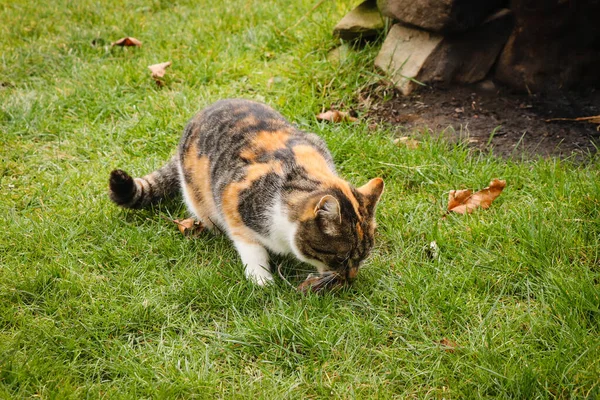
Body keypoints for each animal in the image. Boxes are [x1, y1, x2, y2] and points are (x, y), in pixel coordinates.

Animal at [109, 101, 384, 288]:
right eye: (341, 258)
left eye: (363, 257)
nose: (351, 277)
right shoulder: (231, 196)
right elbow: (250, 245)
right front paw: (261, 280)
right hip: (197, 195)